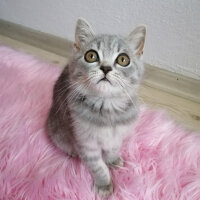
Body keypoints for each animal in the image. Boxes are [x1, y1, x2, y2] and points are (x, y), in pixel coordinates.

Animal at [46, 18, 146, 198]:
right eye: (91, 56)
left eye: (123, 59)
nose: (106, 68)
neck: (107, 108)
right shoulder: (86, 142)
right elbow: (98, 167)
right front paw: (104, 184)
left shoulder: (117, 135)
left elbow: (113, 148)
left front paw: (112, 159)